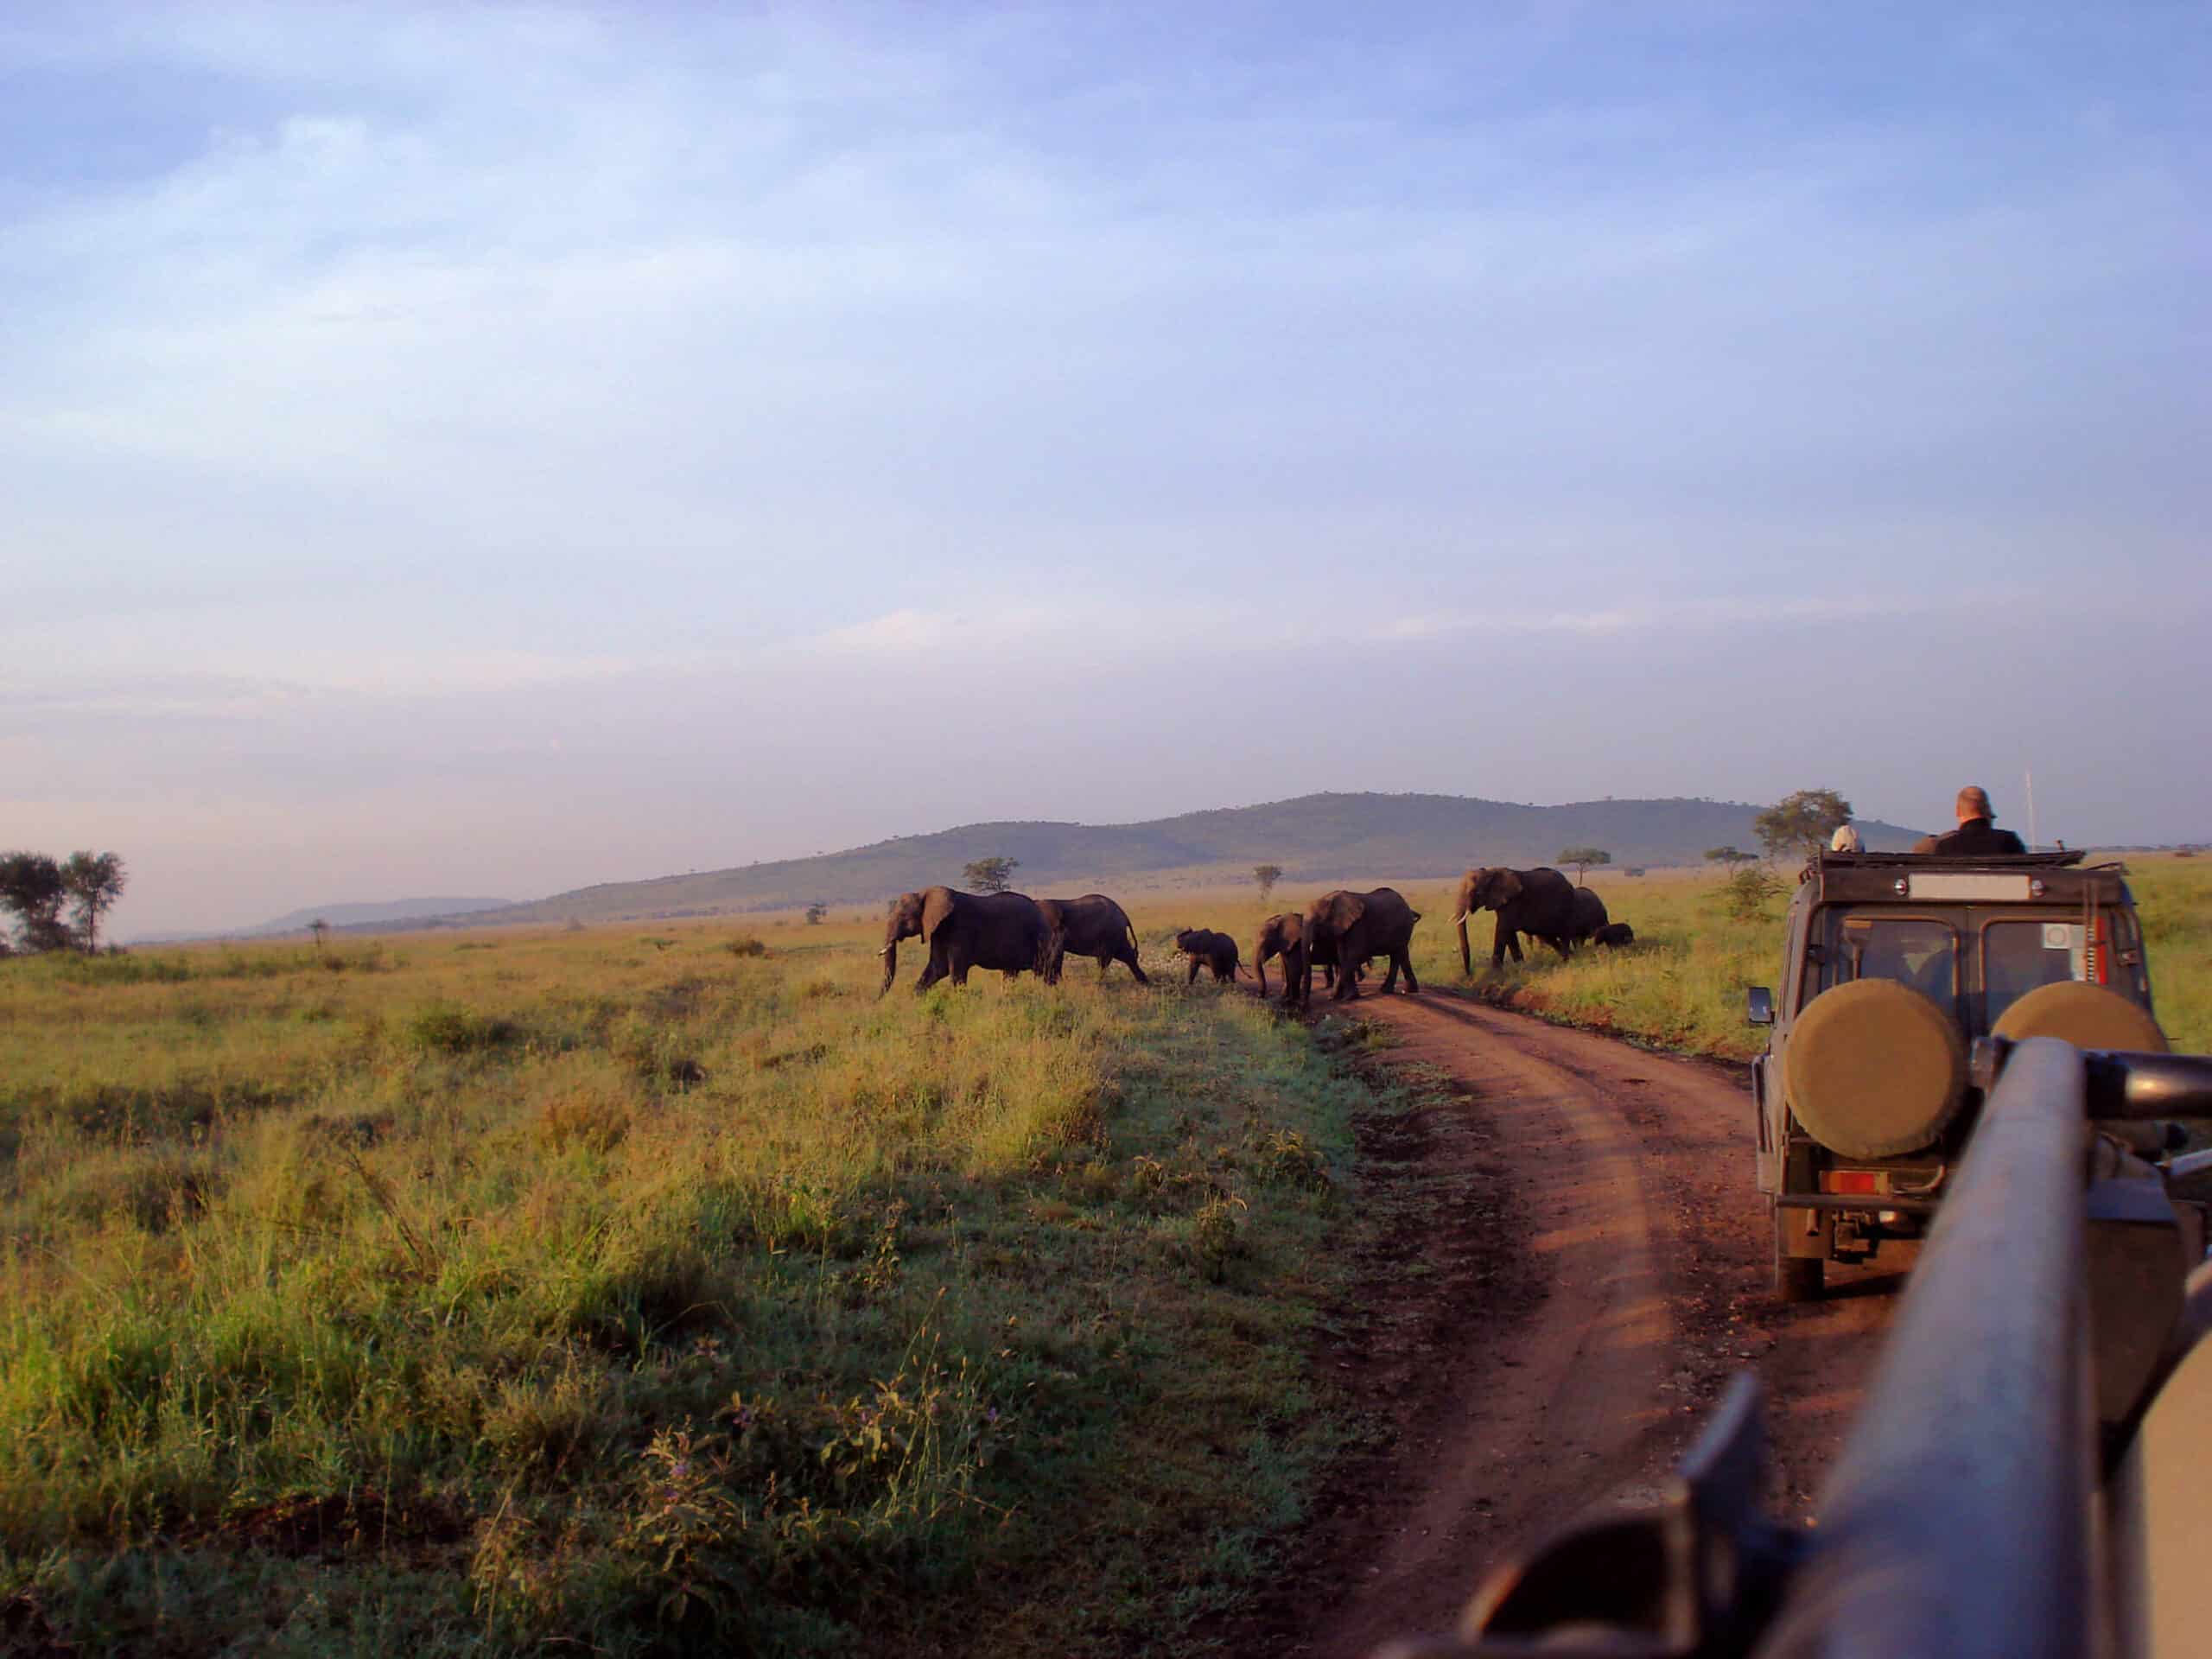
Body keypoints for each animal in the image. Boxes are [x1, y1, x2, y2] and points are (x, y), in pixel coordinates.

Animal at [878, 887, 1052, 995]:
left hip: (1040, 938)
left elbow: (956, 970)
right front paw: (915, 1000)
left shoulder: (960, 929)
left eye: (903, 917)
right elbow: (938, 967)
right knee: (1011, 973)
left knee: (1045, 971)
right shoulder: (939, 931)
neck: (924, 893)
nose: (877, 1001)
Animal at [1036, 895, 1150, 985]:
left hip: (1112, 933)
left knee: (1108, 959)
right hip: (1114, 935)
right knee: (1125, 955)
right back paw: (1143, 981)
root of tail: (1124, 916)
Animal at [1301, 888, 1420, 1003]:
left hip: (1403, 926)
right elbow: (1342, 957)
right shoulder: (1341, 928)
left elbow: (1352, 955)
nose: (1305, 1004)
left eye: (1317, 923)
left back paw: (1388, 990)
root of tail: (1406, 905)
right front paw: (1337, 997)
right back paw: (1407, 990)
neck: (1329, 899)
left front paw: (1345, 997)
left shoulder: (1357, 925)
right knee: (1401, 954)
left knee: (1397, 954)